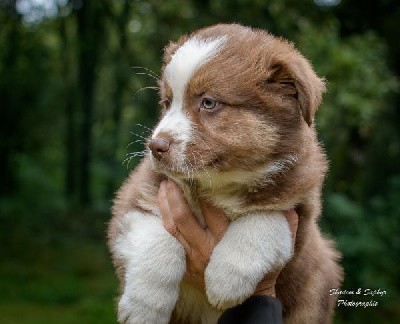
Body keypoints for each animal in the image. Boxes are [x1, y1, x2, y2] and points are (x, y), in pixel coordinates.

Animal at [108, 23, 342, 324]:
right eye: (167, 102)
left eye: (209, 103)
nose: (155, 147)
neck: (220, 184)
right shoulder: (139, 195)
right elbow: (157, 241)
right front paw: (144, 309)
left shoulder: (301, 212)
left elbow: (265, 220)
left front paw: (226, 280)